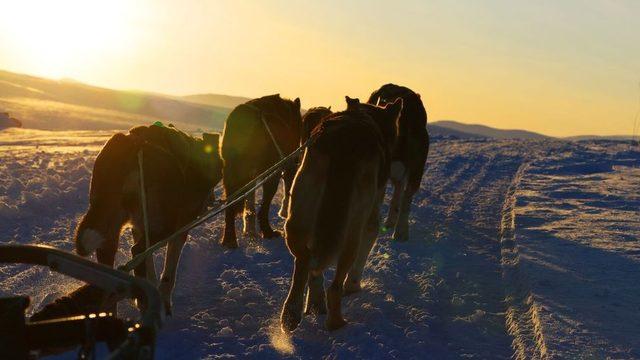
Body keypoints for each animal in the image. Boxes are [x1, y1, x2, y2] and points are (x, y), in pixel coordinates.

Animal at [75, 124, 222, 316]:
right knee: (137, 251)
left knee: (111, 260)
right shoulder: (178, 229)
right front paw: (163, 301)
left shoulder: (139, 227)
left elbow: (149, 264)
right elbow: (168, 274)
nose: (211, 200)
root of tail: (135, 145)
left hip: (110, 223)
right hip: (165, 226)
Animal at [220, 94, 302, 249]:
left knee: (231, 204)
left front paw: (250, 229)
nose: (295, 160)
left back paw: (229, 239)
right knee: (265, 202)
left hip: (231, 173)